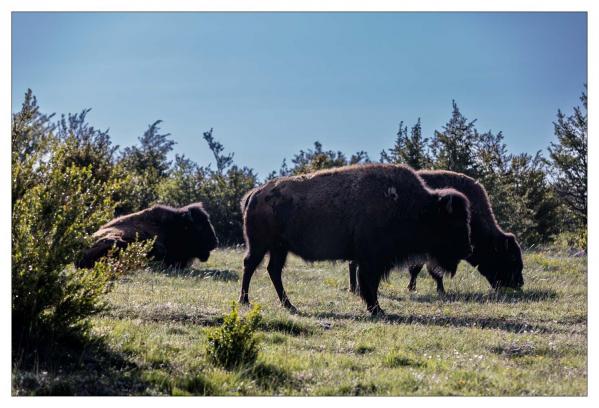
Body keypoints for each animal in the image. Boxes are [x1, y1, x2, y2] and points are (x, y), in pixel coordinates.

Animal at [239, 163, 474, 316]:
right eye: (453, 223)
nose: (468, 249)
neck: (417, 208)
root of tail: (256, 194)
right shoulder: (372, 260)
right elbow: (369, 283)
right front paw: (376, 309)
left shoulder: (372, 260)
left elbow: (370, 283)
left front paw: (375, 308)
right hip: (260, 245)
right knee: (250, 265)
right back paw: (245, 301)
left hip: (279, 248)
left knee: (273, 270)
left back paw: (289, 305)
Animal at [346, 168, 524, 294]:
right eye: (512, 257)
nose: (519, 283)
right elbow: (426, 270)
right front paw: (432, 289)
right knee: (353, 264)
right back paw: (354, 289)